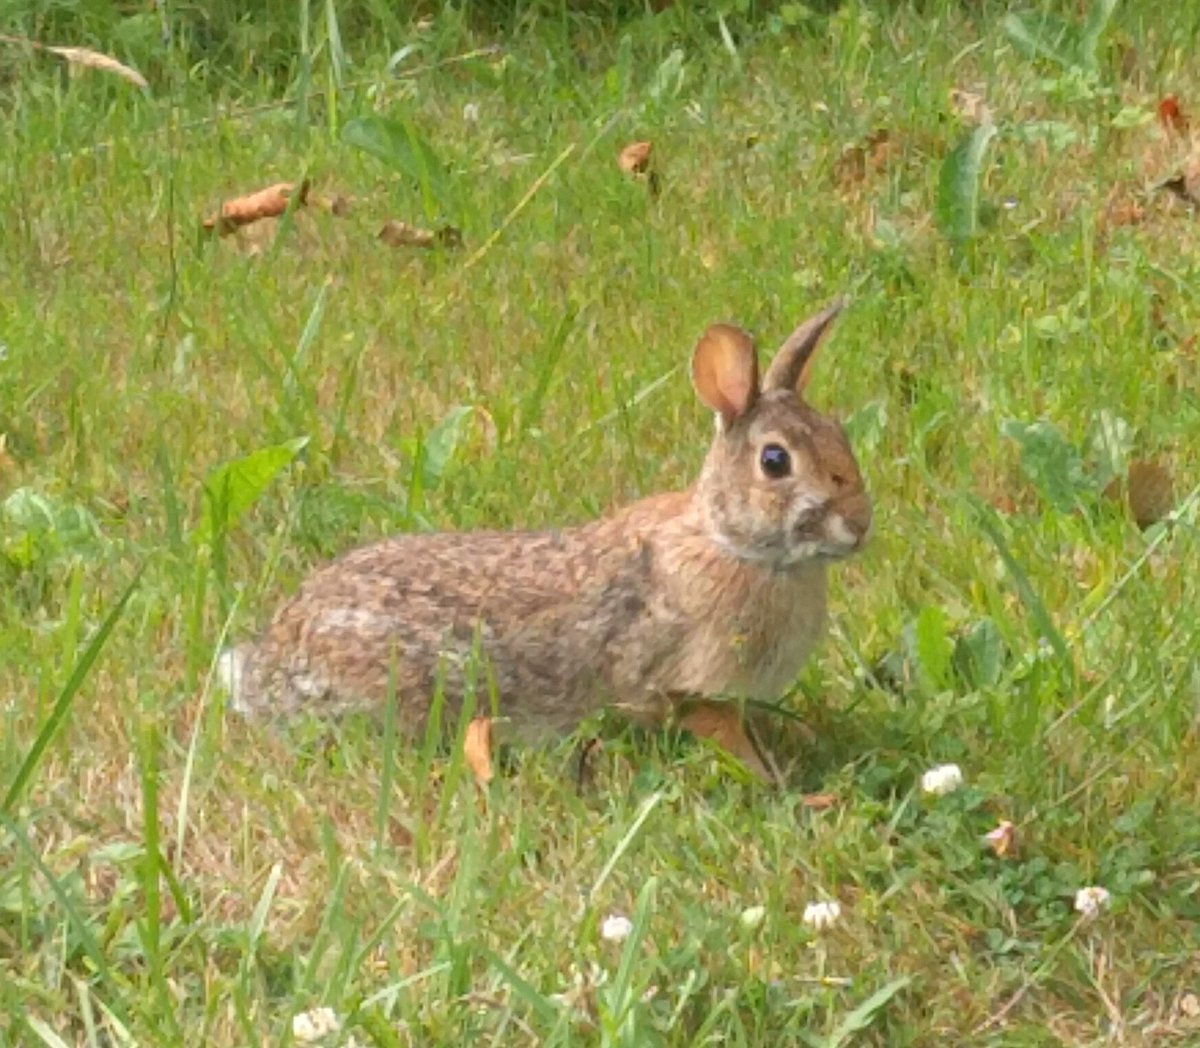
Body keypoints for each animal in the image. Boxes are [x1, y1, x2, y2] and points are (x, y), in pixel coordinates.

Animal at [218, 299, 871, 783]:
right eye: (775, 461)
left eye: (839, 433)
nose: (860, 523)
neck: (734, 544)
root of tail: (269, 666)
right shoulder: (686, 687)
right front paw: (775, 783)